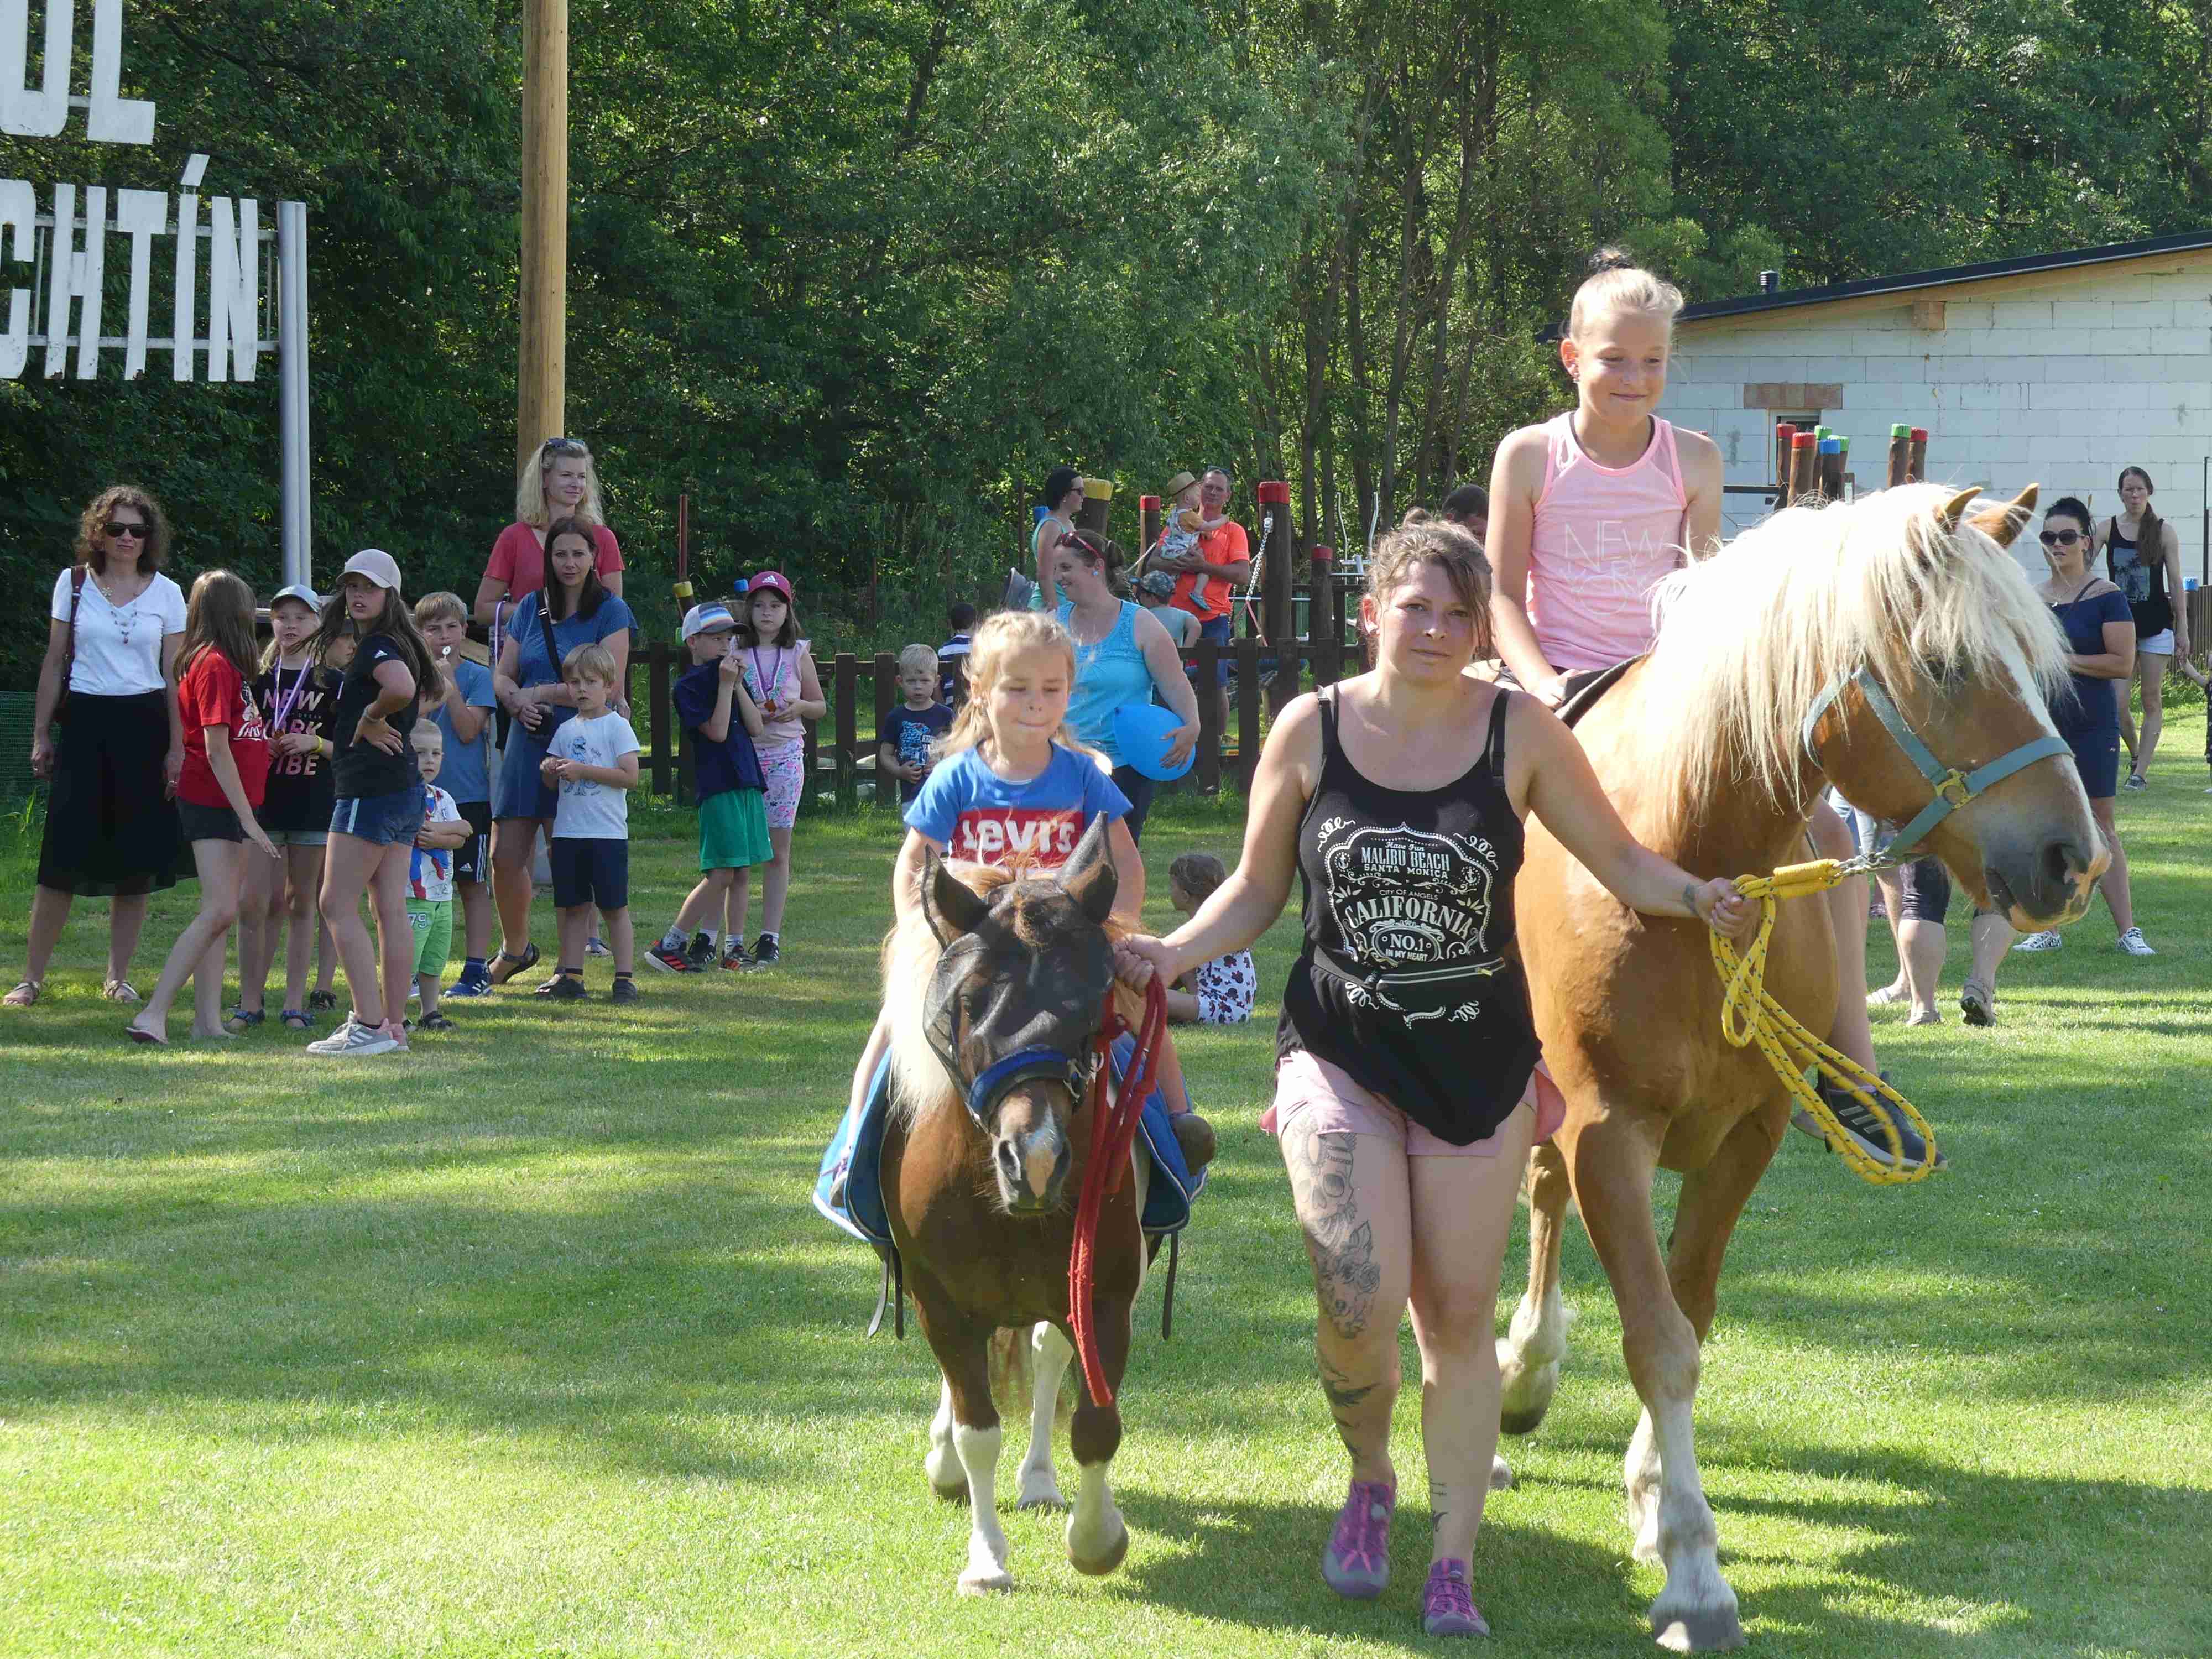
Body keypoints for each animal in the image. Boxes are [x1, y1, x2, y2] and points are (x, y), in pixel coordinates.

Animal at [878, 814, 1152, 1594]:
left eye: (1096, 1005)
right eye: (967, 1004)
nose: (1034, 1160)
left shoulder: (1103, 1293)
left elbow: (1095, 1423)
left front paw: (1095, 1537)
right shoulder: (939, 1299)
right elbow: (978, 1430)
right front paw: (986, 1559)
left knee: (1045, 1351)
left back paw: (1037, 1480)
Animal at [1497, 484, 2104, 1651]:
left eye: (2037, 656)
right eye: (1949, 664)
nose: (2072, 860)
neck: (1685, 861)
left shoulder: (1748, 1135)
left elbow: (1688, 1315)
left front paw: (1657, 1498)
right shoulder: (1606, 1131)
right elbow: (1656, 1337)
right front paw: (1695, 1575)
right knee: (1537, 1201)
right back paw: (1521, 1373)